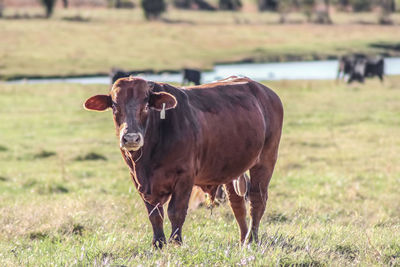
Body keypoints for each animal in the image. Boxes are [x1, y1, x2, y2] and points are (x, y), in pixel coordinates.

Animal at [84, 76, 282, 250]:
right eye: (114, 105)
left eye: (146, 105)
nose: (131, 138)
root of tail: (264, 90)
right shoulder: (139, 181)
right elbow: (155, 215)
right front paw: (158, 244)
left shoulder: (185, 177)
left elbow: (175, 212)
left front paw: (176, 242)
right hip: (231, 168)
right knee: (237, 204)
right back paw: (242, 240)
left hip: (265, 160)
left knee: (257, 200)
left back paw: (251, 239)